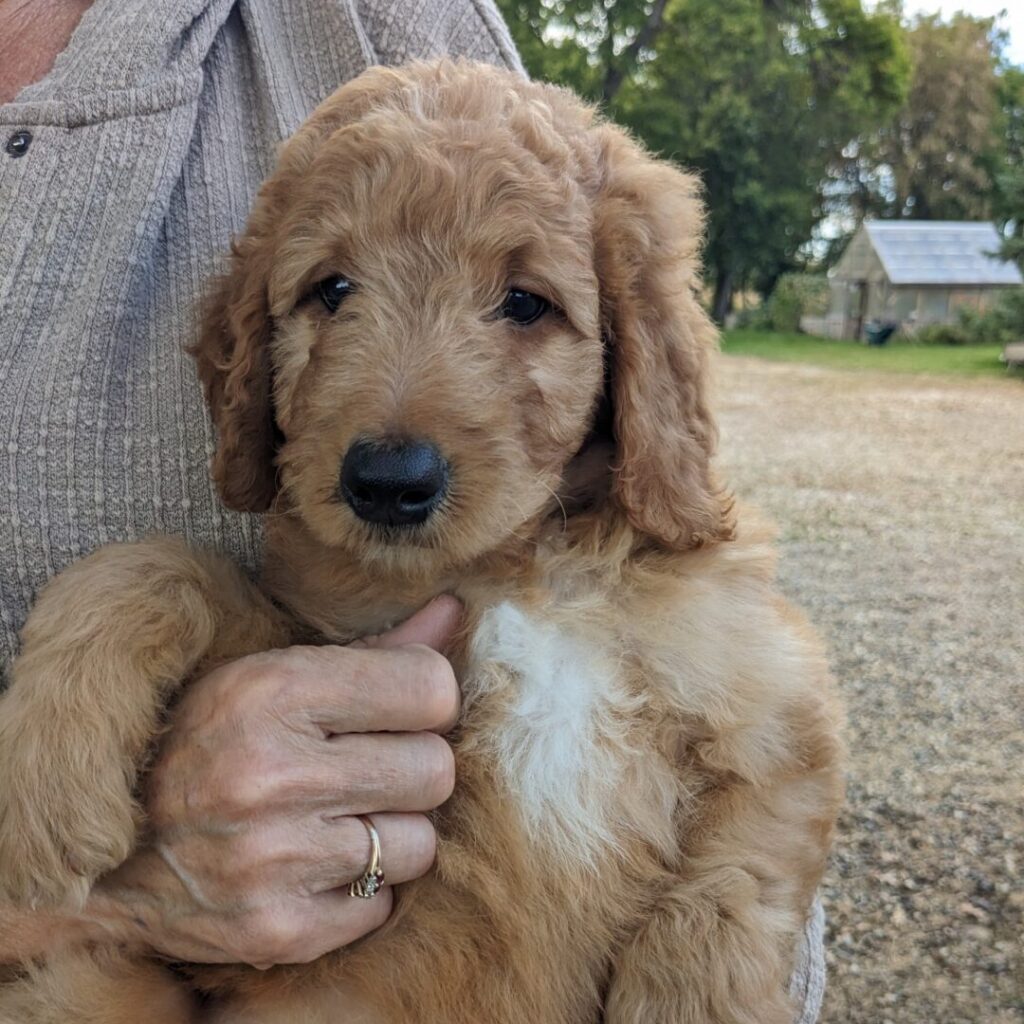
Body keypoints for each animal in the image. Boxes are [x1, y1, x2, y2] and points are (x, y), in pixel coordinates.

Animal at [0, 59, 839, 1019]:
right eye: (332, 289)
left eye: (526, 302)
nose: (388, 482)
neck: (522, 565)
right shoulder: (320, 644)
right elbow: (161, 563)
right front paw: (44, 781)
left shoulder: (776, 711)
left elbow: (730, 890)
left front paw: (689, 990)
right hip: (88, 983)